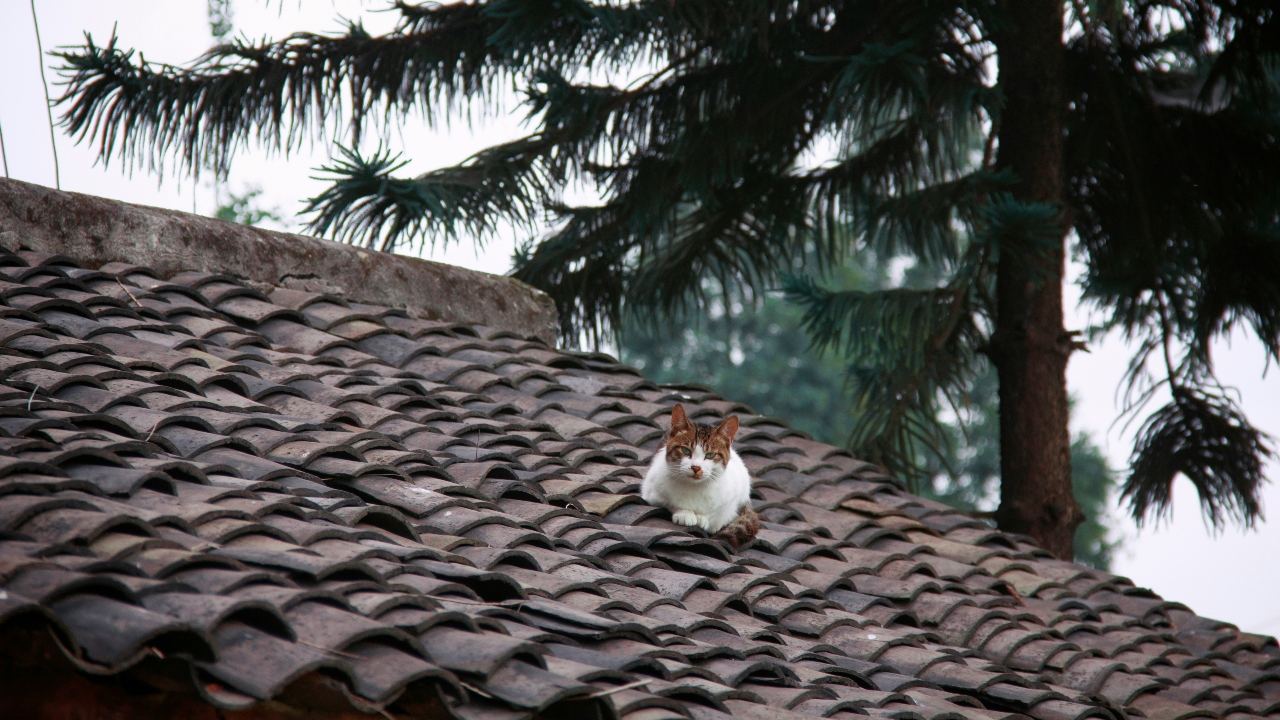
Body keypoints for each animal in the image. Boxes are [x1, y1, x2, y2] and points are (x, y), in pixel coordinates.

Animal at [640, 404, 757, 543]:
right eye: (685, 450)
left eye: (710, 455)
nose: (696, 467)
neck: (695, 487)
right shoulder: (651, 492)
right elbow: (669, 502)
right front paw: (685, 513)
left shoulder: (732, 498)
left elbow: (718, 512)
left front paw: (703, 518)